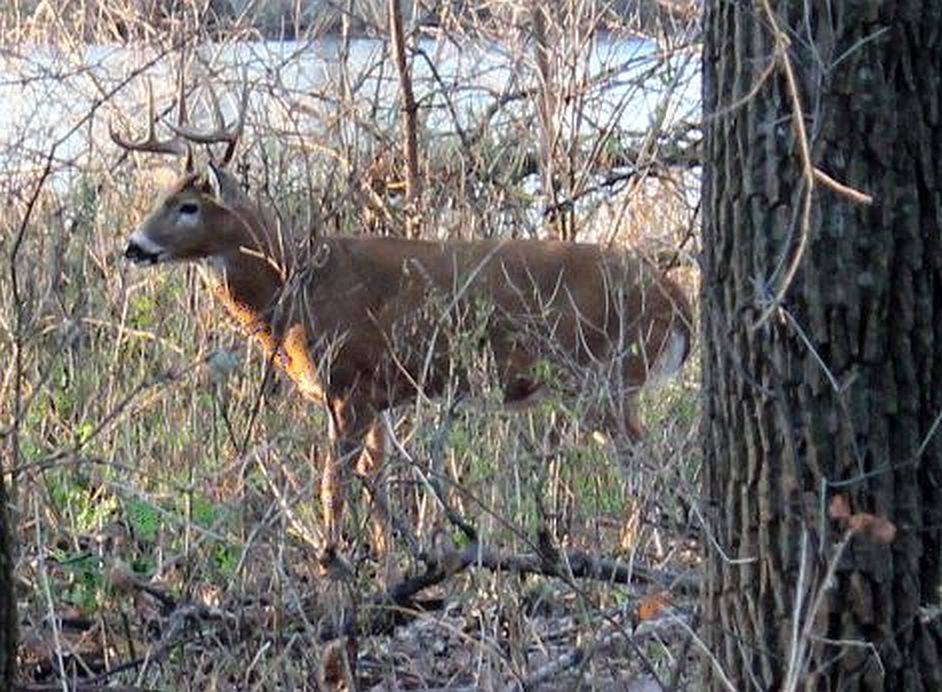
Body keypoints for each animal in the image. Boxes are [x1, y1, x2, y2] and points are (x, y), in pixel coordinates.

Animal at [112, 81, 694, 567]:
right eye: (160, 197)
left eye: (188, 206)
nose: (134, 246)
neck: (294, 284)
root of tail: (676, 299)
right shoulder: (383, 394)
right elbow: (379, 478)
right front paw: (391, 558)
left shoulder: (348, 380)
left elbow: (334, 483)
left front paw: (331, 560)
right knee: (644, 461)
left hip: (604, 373)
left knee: (649, 462)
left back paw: (639, 553)